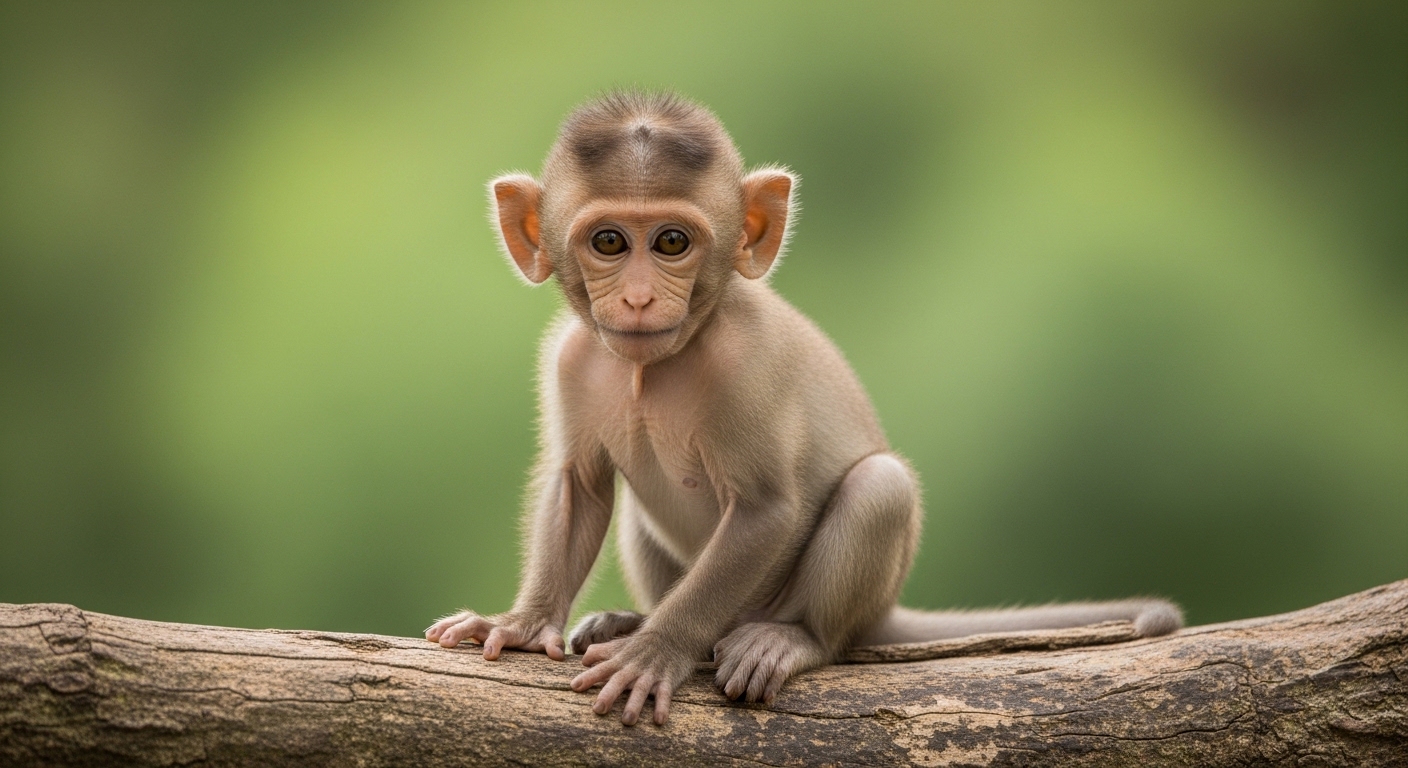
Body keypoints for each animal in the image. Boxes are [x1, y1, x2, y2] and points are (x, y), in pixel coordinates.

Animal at [425, 91, 1182, 727]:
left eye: (671, 242)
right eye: (609, 241)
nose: (639, 299)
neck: (655, 366)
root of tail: (883, 609)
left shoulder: (746, 367)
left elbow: (766, 510)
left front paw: (658, 652)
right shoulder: (571, 361)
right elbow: (579, 485)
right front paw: (524, 623)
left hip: (822, 598)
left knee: (877, 492)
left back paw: (786, 640)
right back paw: (630, 620)